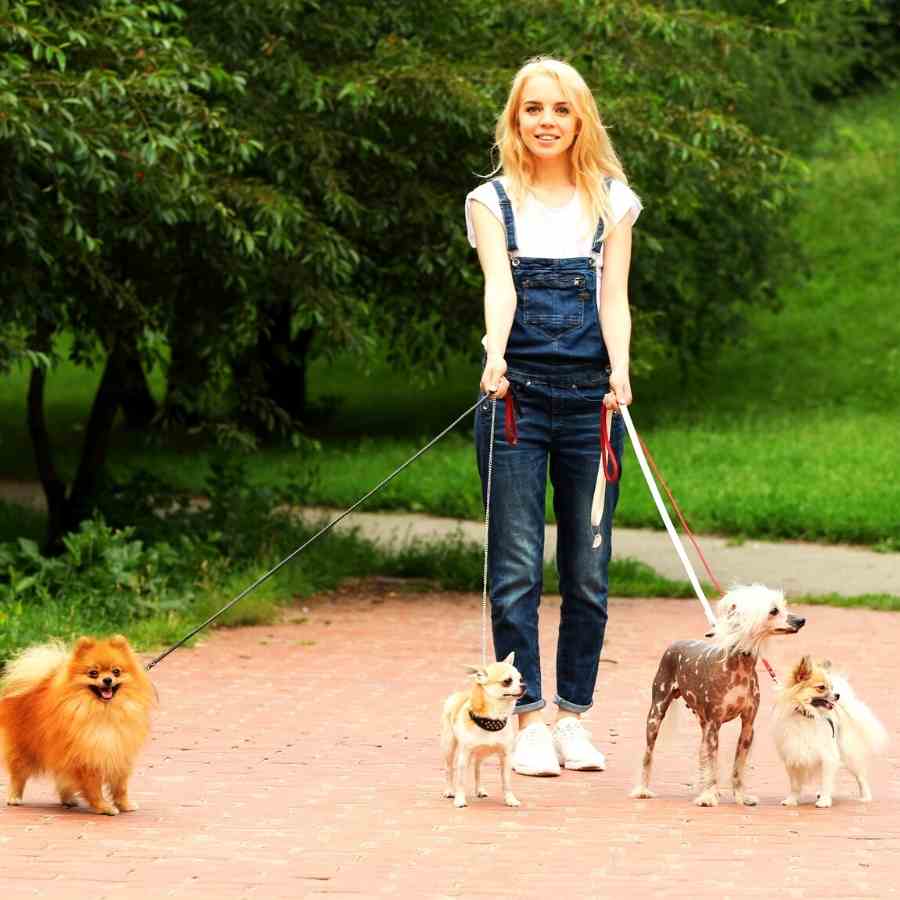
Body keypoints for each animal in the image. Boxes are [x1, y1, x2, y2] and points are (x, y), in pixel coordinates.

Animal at [440, 648, 524, 808]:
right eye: (507, 681)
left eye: (521, 679)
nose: (525, 686)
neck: (493, 718)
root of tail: (458, 695)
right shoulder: (464, 757)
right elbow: (461, 781)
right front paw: (460, 799)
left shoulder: (505, 757)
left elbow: (506, 781)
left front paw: (510, 799)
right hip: (449, 747)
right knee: (449, 769)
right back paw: (449, 790)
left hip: (481, 754)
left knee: (477, 770)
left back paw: (480, 790)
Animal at [628, 584, 804, 808]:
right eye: (773, 611)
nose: (801, 620)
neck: (739, 668)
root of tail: (676, 643)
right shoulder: (714, 724)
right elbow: (712, 761)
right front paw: (709, 796)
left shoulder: (747, 726)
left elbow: (737, 767)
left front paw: (740, 796)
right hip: (656, 714)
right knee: (648, 754)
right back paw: (642, 789)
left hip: (702, 722)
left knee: (701, 754)